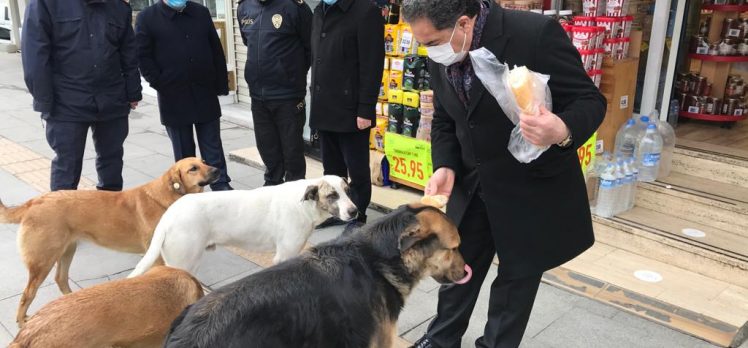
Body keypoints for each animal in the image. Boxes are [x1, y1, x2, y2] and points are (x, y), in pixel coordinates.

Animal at [0, 158, 218, 326]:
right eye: (193, 168)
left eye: (203, 161)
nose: (217, 169)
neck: (170, 195)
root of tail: (34, 202)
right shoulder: (157, 258)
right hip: (43, 261)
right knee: (27, 294)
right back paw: (22, 322)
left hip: (67, 250)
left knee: (60, 278)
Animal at [129, 177, 360, 278]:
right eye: (332, 195)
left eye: (348, 191)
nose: (354, 211)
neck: (305, 205)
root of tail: (169, 215)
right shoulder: (284, 255)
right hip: (184, 262)